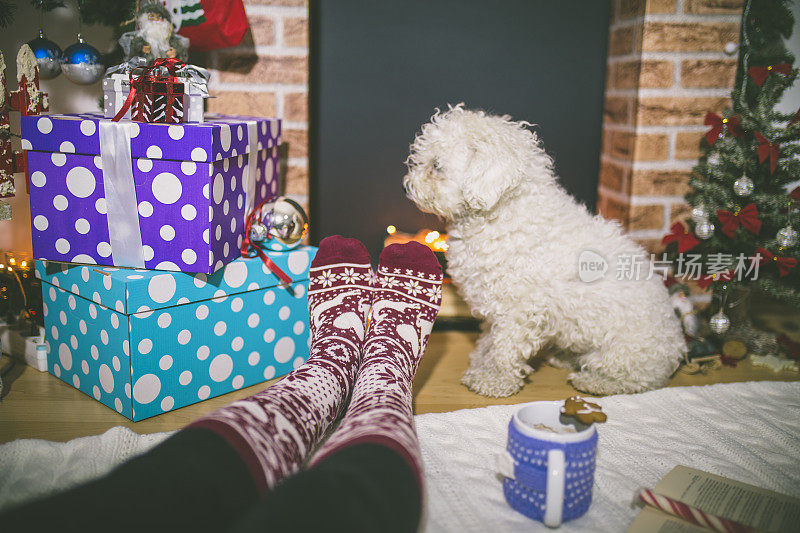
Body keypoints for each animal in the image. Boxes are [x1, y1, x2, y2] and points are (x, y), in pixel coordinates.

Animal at [404, 105, 684, 394]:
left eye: (436, 166)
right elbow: (490, 339)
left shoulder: (519, 308)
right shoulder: (494, 305)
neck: (503, 212)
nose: (408, 185)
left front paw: (494, 378)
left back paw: (594, 381)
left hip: (622, 354)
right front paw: (482, 360)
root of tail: (675, 346)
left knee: (635, 378)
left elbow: (504, 348)